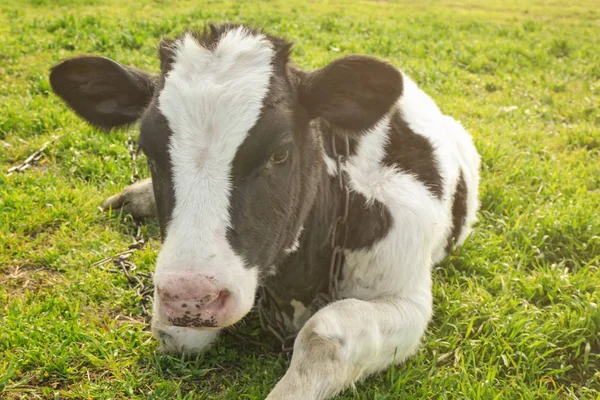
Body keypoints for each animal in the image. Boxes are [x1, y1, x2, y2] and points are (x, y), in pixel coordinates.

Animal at [49, 24, 480, 400]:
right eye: (148, 150)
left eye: (280, 152)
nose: (191, 298)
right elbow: (177, 335)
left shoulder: (407, 297)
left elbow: (324, 332)